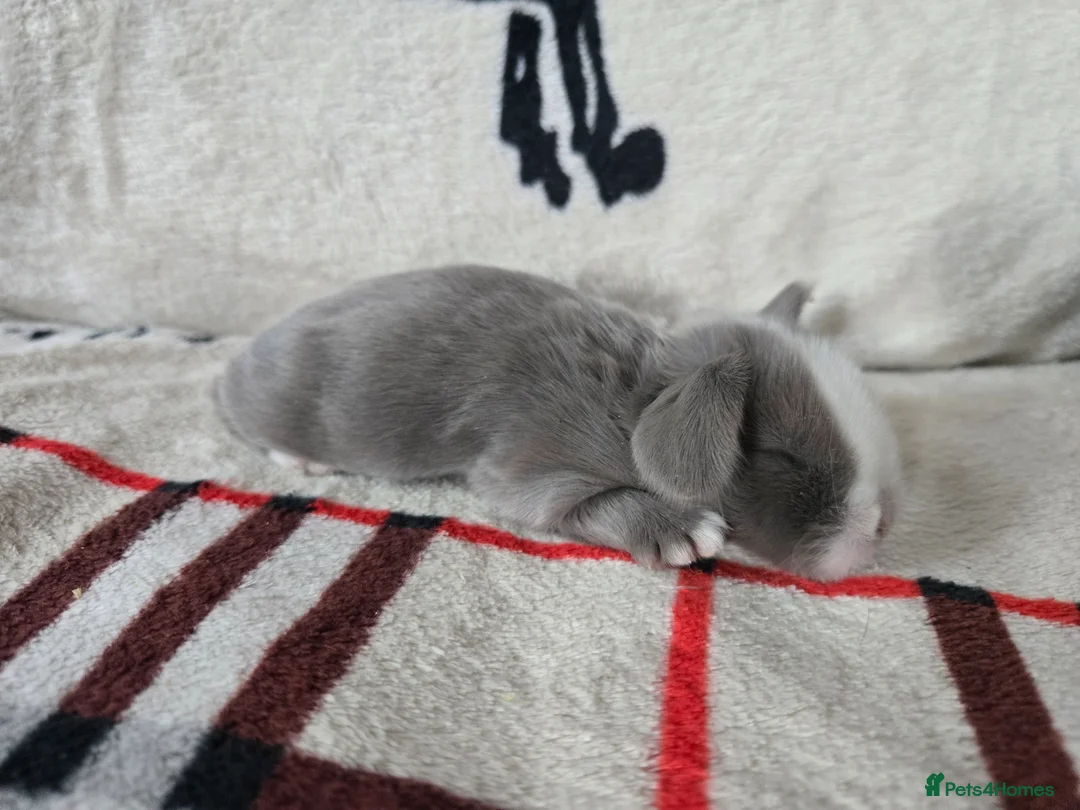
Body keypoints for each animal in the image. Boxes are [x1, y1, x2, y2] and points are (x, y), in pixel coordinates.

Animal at [215, 265, 901, 581]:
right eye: (784, 456)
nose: (881, 528)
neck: (634, 400)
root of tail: (237, 361)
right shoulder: (533, 465)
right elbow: (592, 502)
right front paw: (684, 532)